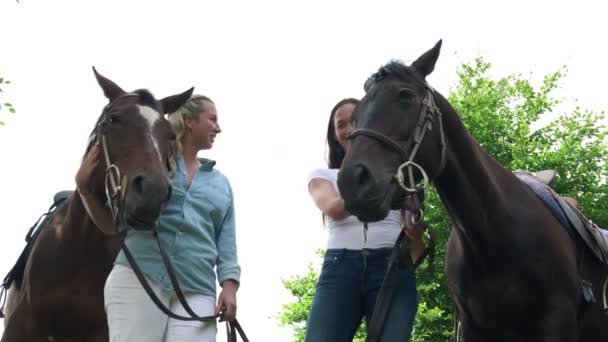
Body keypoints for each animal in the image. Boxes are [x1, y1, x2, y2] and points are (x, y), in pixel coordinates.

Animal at [338, 41, 608, 340]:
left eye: (405, 95)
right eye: (356, 113)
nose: (352, 181)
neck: (491, 234)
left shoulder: (556, 323)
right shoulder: (471, 327)